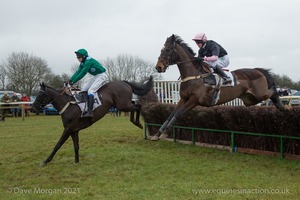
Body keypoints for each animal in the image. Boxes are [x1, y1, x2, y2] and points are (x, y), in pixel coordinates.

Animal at [151, 34, 284, 141]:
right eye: (162, 49)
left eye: (168, 50)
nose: (158, 67)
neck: (194, 75)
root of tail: (257, 70)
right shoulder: (183, 99)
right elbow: (171, 114)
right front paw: (157, 134)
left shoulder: (194, 100)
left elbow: (178, 113)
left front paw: (165, 132)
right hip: (250, 99)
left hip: (260, 94)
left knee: (273, 92)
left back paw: (282, 107)